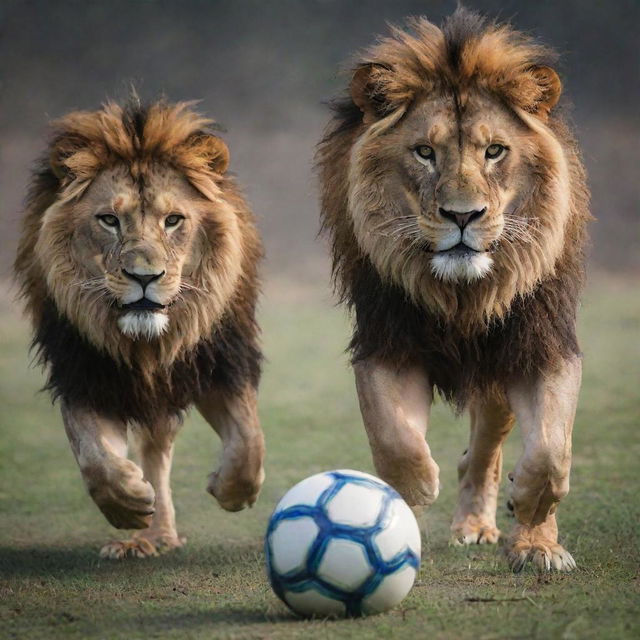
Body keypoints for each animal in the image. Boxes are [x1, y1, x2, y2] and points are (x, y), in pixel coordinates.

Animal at [14, 97, 264, 556]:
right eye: (109, 220)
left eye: (173, 220)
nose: (144, 277)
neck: (146, 344)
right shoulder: (84, 373)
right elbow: (95, 457)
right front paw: (127, 502)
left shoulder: (222, 364)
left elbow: (249, 443)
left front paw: (229, 491)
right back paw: (143, 533)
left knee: (158, 445)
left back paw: (159, 534)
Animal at [318, 7, 592, 572]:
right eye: (424, 152)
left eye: (495, 152)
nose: (463, 216)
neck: (463, 294)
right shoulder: (387, 344)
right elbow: (394, 438)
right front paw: (416, 489)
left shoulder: (541, 346)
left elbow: (551, 449)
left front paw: (536, 528)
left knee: (489, 446)